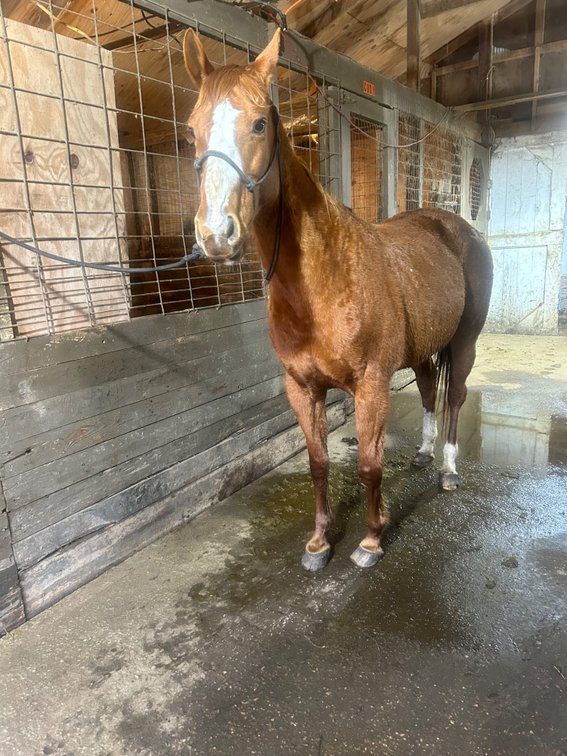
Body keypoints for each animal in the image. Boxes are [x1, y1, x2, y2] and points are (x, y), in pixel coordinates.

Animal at [183, 28, 493, 571]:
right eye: (191, 132)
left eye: (260, 123)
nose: (217, 235)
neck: (323, 282)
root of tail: (459, 228)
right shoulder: (303, 388)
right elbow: (319, 463)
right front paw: (319, 542)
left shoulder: (370, 385)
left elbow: (368, 465)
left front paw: (371, 539)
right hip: (423, 348)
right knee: (429, 391)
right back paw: (424, 453)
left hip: (464, 342)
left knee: (454, 396)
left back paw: (449, 470)